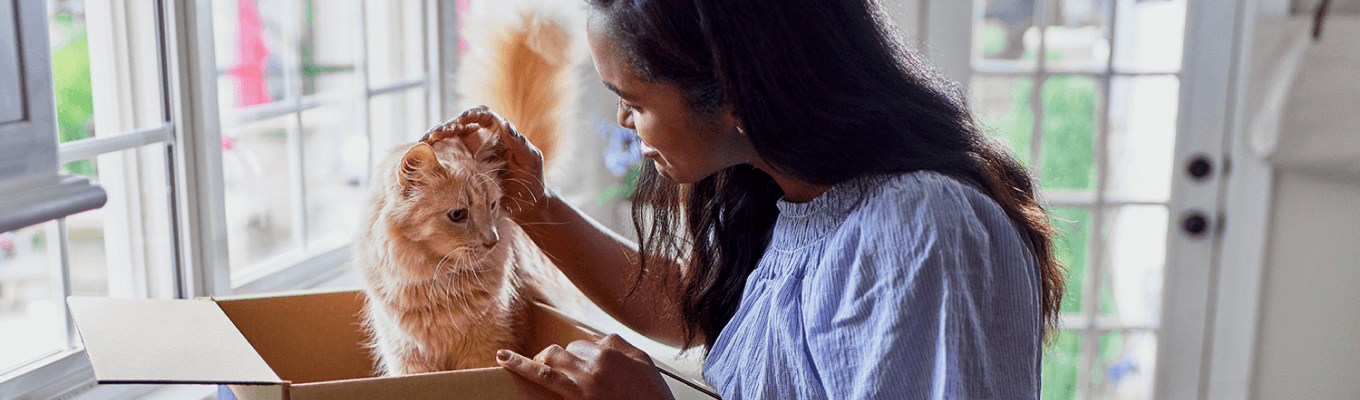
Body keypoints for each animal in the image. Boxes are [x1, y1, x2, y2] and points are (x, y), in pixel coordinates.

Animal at [353, 3, 582, 375]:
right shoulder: (407, 360)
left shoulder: (486, 349)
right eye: (458, 215)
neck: (436, 284)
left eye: (492, 206)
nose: (492, 241)